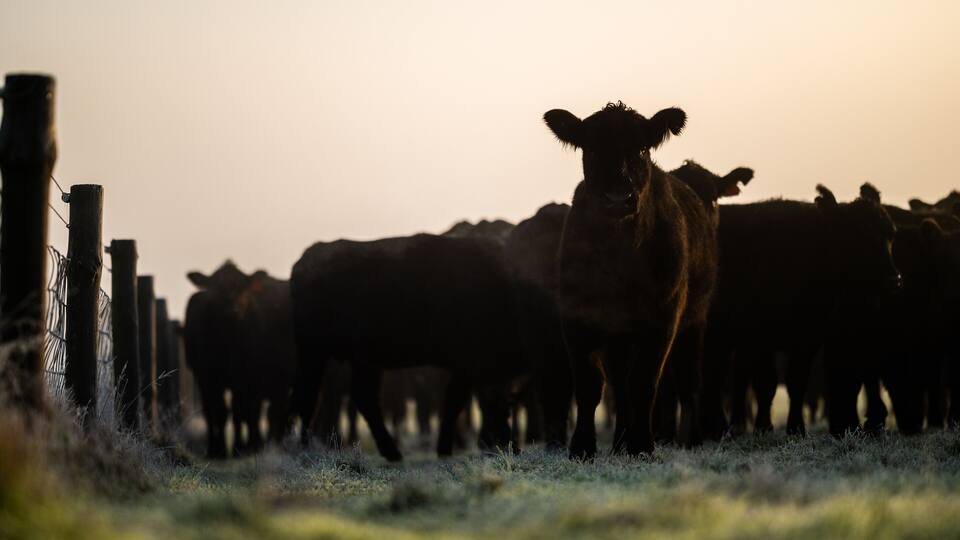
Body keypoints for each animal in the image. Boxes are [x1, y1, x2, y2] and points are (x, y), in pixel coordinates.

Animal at [183, 262, 297, 458]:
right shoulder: (207, 377)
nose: (232, 310)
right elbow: (217, 411)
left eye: (243, 289)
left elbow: (242, 411)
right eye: (216, 288)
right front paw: (217, 450)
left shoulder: (245, 377)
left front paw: (242, 447)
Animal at [544, 101, 717, 458]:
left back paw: (690, 439)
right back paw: (620, 440)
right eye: (592, 149)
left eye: (641, 149)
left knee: (688, 380)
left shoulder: (663, 318)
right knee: (620, 384)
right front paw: (582, 447)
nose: (617, 198)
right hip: (619, 337)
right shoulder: (577, 316)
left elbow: (645, 382)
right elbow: (590, 385)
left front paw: (642, 445)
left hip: (695, 320)